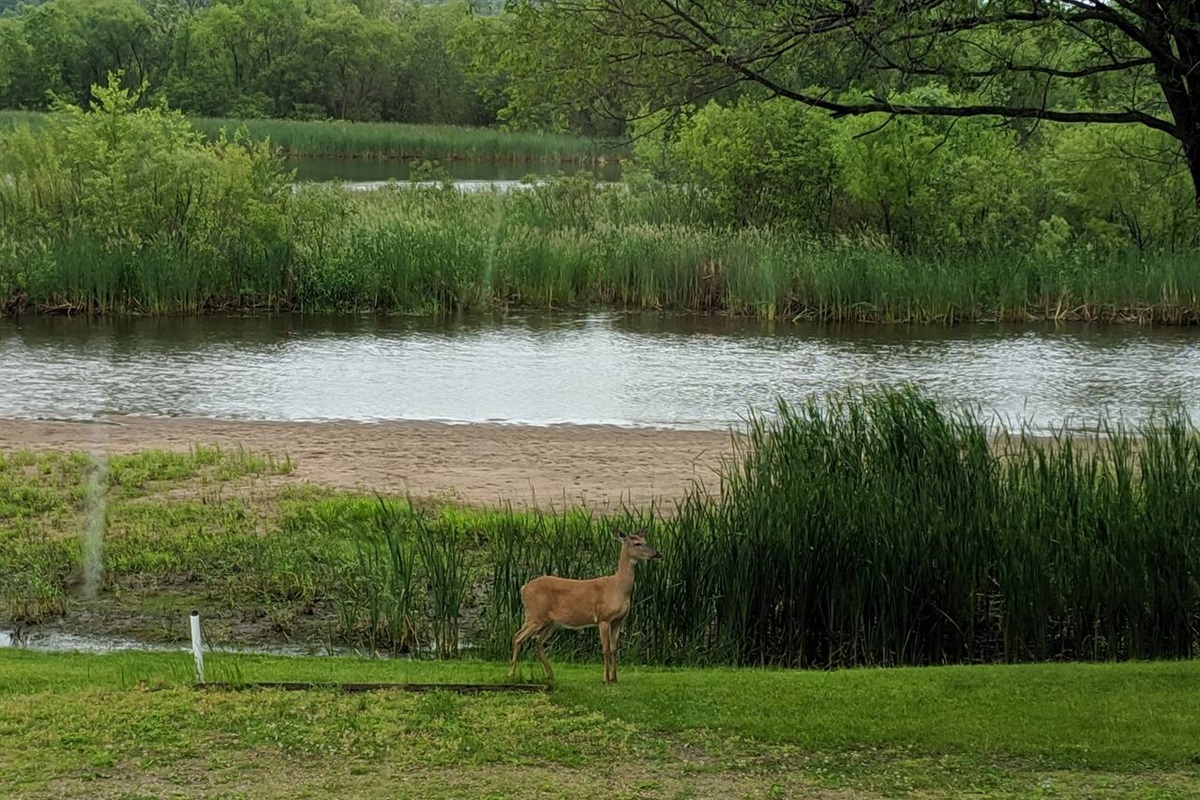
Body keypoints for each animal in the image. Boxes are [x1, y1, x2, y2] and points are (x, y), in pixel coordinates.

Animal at [504, 527, 662, 686]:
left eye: (645, 540)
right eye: (637, 544)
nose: (657, 553)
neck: (618, 588)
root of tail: (523, 588)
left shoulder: (618, 621)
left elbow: (614, 649)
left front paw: (614, 679)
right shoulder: (603, 619)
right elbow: (605, 649)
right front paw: (605, 679)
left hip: (550, 622)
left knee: (537, 640)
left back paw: (551, 675)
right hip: (535, 615)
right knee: (518, 636)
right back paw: (511, 674)